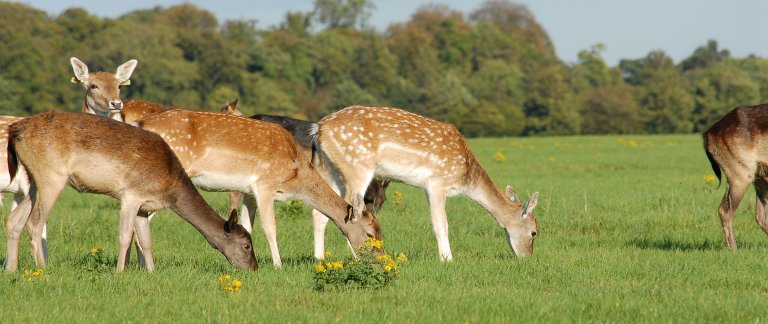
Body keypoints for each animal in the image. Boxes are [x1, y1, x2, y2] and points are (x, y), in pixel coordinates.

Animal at [3, 110, 258, 270]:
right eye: (246, 245)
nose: (254, 268)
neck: (169, 187)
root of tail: (17, 129)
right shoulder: (131, 195)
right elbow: (125, 237)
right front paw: (119, 272)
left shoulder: (145, 207)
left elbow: (146, 240)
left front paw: (151, 272)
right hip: (51, 176)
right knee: (34, 223)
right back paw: (43, 269)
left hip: (33, 181)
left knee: (14, 219)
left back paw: (12, 269)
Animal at [136, 109, 382, 268]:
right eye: (370, 234)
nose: (380, 258)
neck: (296, 174)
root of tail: (141, 123)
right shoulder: (265, 185)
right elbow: (270, 227)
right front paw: (278, 265)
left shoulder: (249, 192)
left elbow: (247, 225)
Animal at [312, 106, 540, 260]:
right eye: (534, 232)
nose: (527, 257)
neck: (465, 178)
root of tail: (319, 129)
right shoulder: (438, 182)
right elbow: (441, 224)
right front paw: (447, 260)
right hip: (357, 167)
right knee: (351, 213)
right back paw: (359, 256)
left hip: (330, 169)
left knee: (321, 212)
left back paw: (319, 258)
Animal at [704, 104, 768, 248]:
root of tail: (708, 134)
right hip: (740, 173)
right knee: (725, 210)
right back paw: (734, 249)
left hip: (759, 176)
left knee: (760, 216)